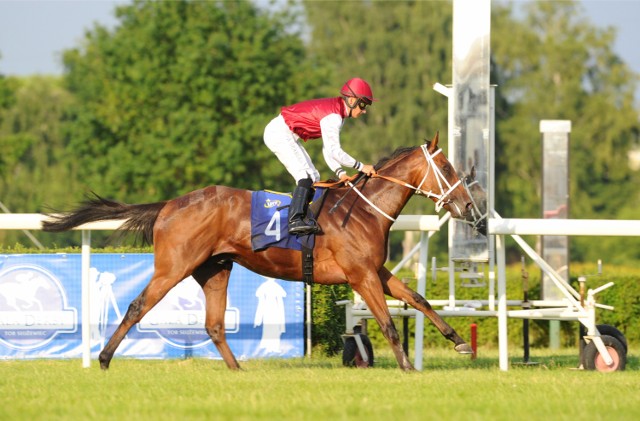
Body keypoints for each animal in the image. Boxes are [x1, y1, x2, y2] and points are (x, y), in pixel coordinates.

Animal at [41, 132, 480, 370]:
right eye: (448, 170)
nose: (469, 207)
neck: (363, 209)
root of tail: (169, 204)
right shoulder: (361, 275)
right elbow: (388, 321)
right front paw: (407, 365)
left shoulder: (375, 270)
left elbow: (418, 298)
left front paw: (459, 341)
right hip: (173, 266)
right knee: (137, 306)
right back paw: (103, 358)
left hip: (215, 269)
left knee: (214, 324)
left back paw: (238, 368)